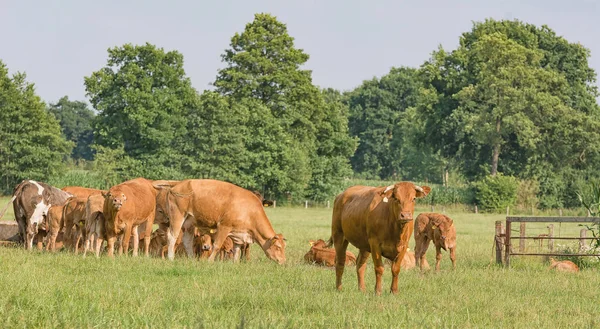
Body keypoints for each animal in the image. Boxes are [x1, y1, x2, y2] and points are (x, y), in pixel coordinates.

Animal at [155, 178, 286, 262]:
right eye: (278, 247)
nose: (283, 261)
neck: (249, 210)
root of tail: (180, 183)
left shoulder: (238, 234)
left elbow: (236, 250)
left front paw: (235, 263)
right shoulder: (224, 226)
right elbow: (217, 245)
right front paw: (209, 261)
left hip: (189, 222)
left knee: (187, 241)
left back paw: (192, 259)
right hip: (177, 216)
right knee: (172, 236)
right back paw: (171, 258)